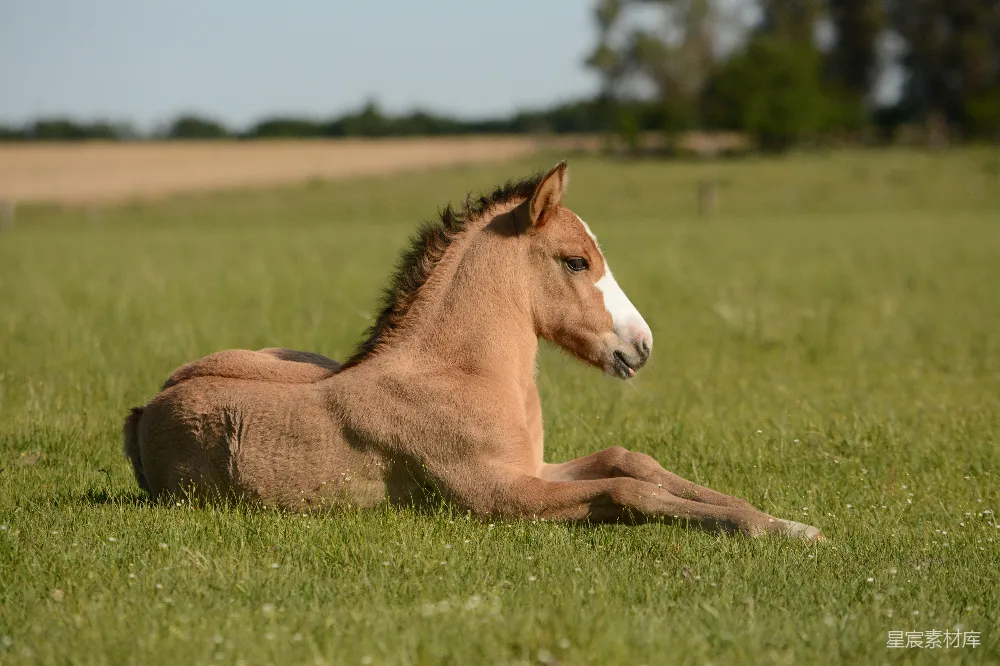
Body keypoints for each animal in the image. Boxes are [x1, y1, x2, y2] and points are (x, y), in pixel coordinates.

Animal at [123, 162, 824, 540]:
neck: (461, 375)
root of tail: (144, 408)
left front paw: (784, 522)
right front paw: (772, 529)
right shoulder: (497, 495)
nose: (641, 345)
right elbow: (630, 492)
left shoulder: (534, 469)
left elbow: (632, 462)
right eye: (576, 261)